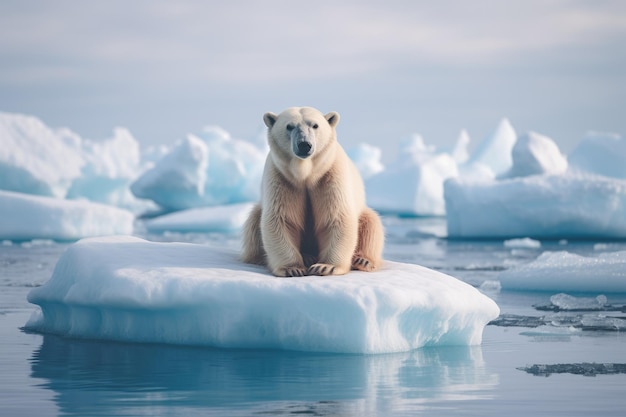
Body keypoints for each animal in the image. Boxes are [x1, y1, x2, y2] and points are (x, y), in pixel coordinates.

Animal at [240, 106, 382, 276]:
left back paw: (363, 260)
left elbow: (337, 217)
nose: (304, 145)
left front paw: (326, 267)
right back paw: (304, 257)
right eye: (289, 126)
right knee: (254, 221)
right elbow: (281, 218)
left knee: (371, 224)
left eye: (315, 125)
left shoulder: (331, 174)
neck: (306, 174)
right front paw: (293, 268)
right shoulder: (281, 177)